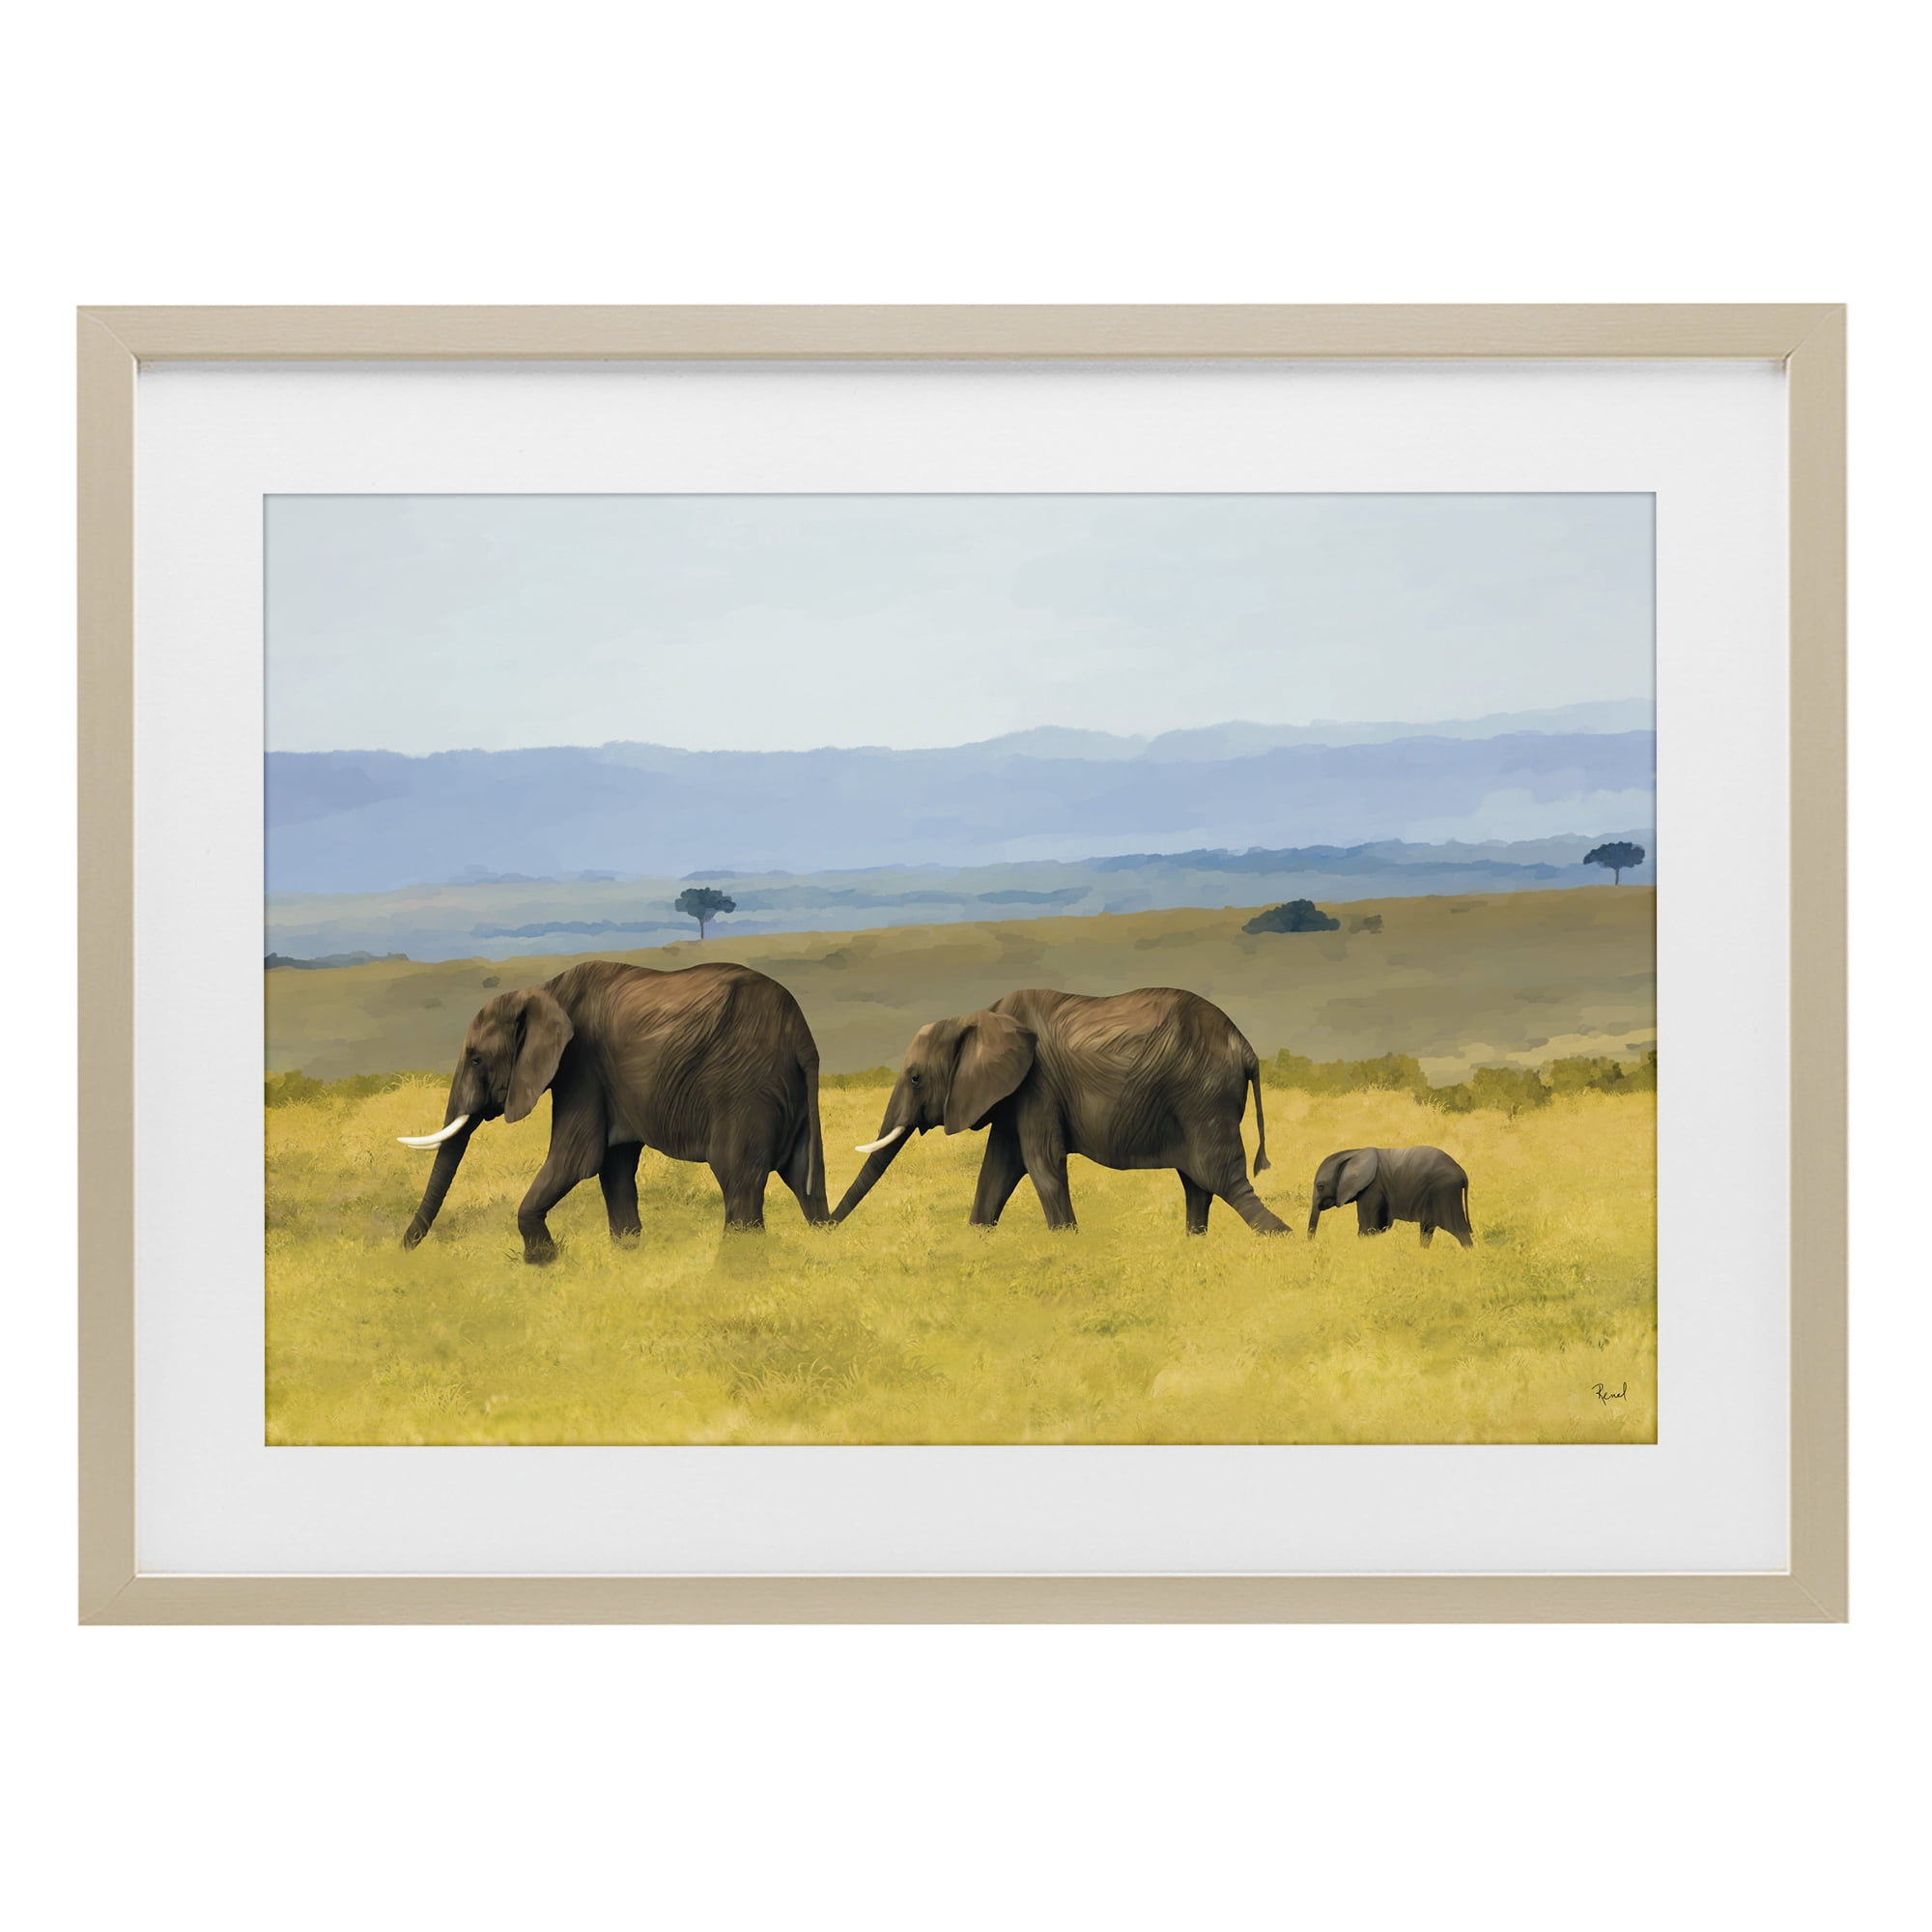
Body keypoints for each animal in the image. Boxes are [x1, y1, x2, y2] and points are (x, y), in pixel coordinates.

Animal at [398, 959, 828, 1263]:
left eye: (475, 1059)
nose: (401, 1251)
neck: (545, 991)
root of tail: (802, 1036)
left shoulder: (581, 1067)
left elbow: (576, 1159)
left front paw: (543, 1262)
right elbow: (614, 1166)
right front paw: (626, 1258)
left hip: (743, 1088)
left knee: (739, 1179)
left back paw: (735, 1270)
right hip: (788, 1095)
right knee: (804, 1178)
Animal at [831, 986, 1287, 1235]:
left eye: (915, 1079)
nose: (824, 1226)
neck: (979, 1015)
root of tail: (1246, 1048)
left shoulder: (1038, 1086)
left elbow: (1041, 1163)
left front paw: (1068, 1241)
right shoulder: (1013, 1094)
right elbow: (997, 1169)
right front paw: (976, 1238)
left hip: (1203, 1096)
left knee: (1220, 1178)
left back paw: (1281, 1237)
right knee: (1198, 1184)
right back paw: (1193, 1243)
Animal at [1306, 1146, 1472, 1247]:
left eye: (1320, 1186)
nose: (1312, 1244)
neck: (1355, 1152)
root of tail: (1463, 1174)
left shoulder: (1373, 1188)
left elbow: (1368, 1227)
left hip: (1444, 1192)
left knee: (1459, 1229)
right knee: (1427, 1229)